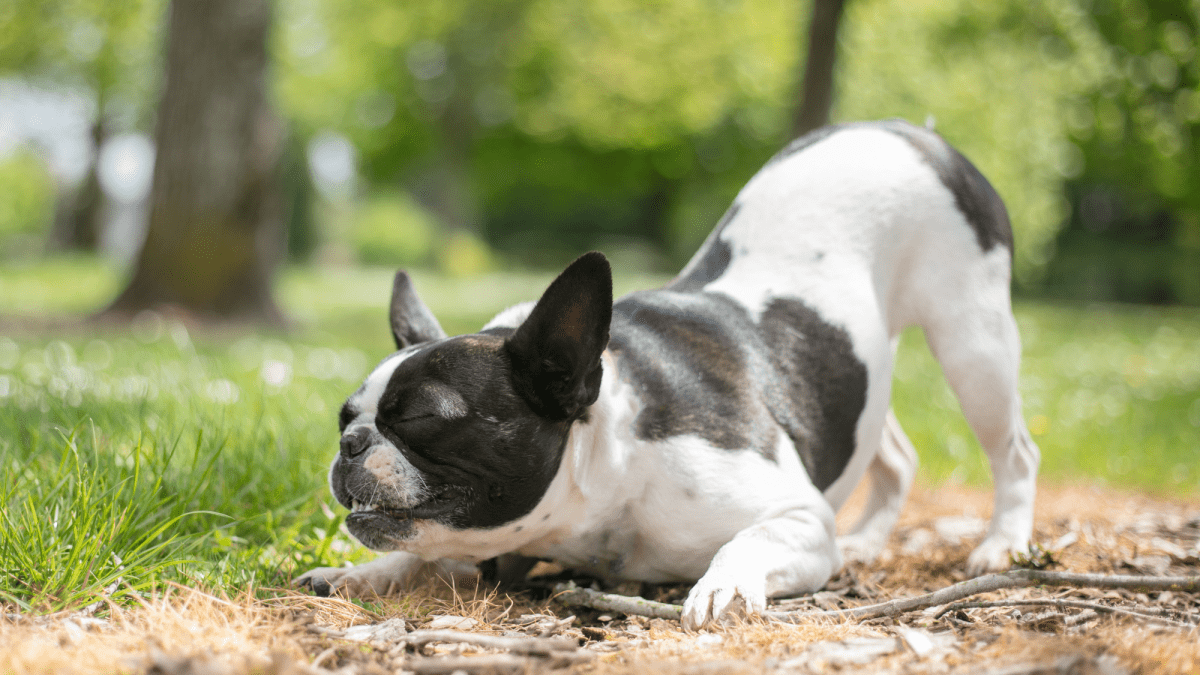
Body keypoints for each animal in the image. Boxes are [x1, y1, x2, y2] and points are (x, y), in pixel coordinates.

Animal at [295, 118, 1036, 629]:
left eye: (423, 415)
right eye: (344, 417)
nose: (349, 444)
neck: (613, 463)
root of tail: (908, 131)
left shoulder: (798, 516)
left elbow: (750, 538)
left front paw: (725, 586)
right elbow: (421, 552)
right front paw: (363, 572)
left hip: (973, 339)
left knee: (1015, 450)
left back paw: (1001, 544)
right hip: (863, 372)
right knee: (895, 449)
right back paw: (869, 539)